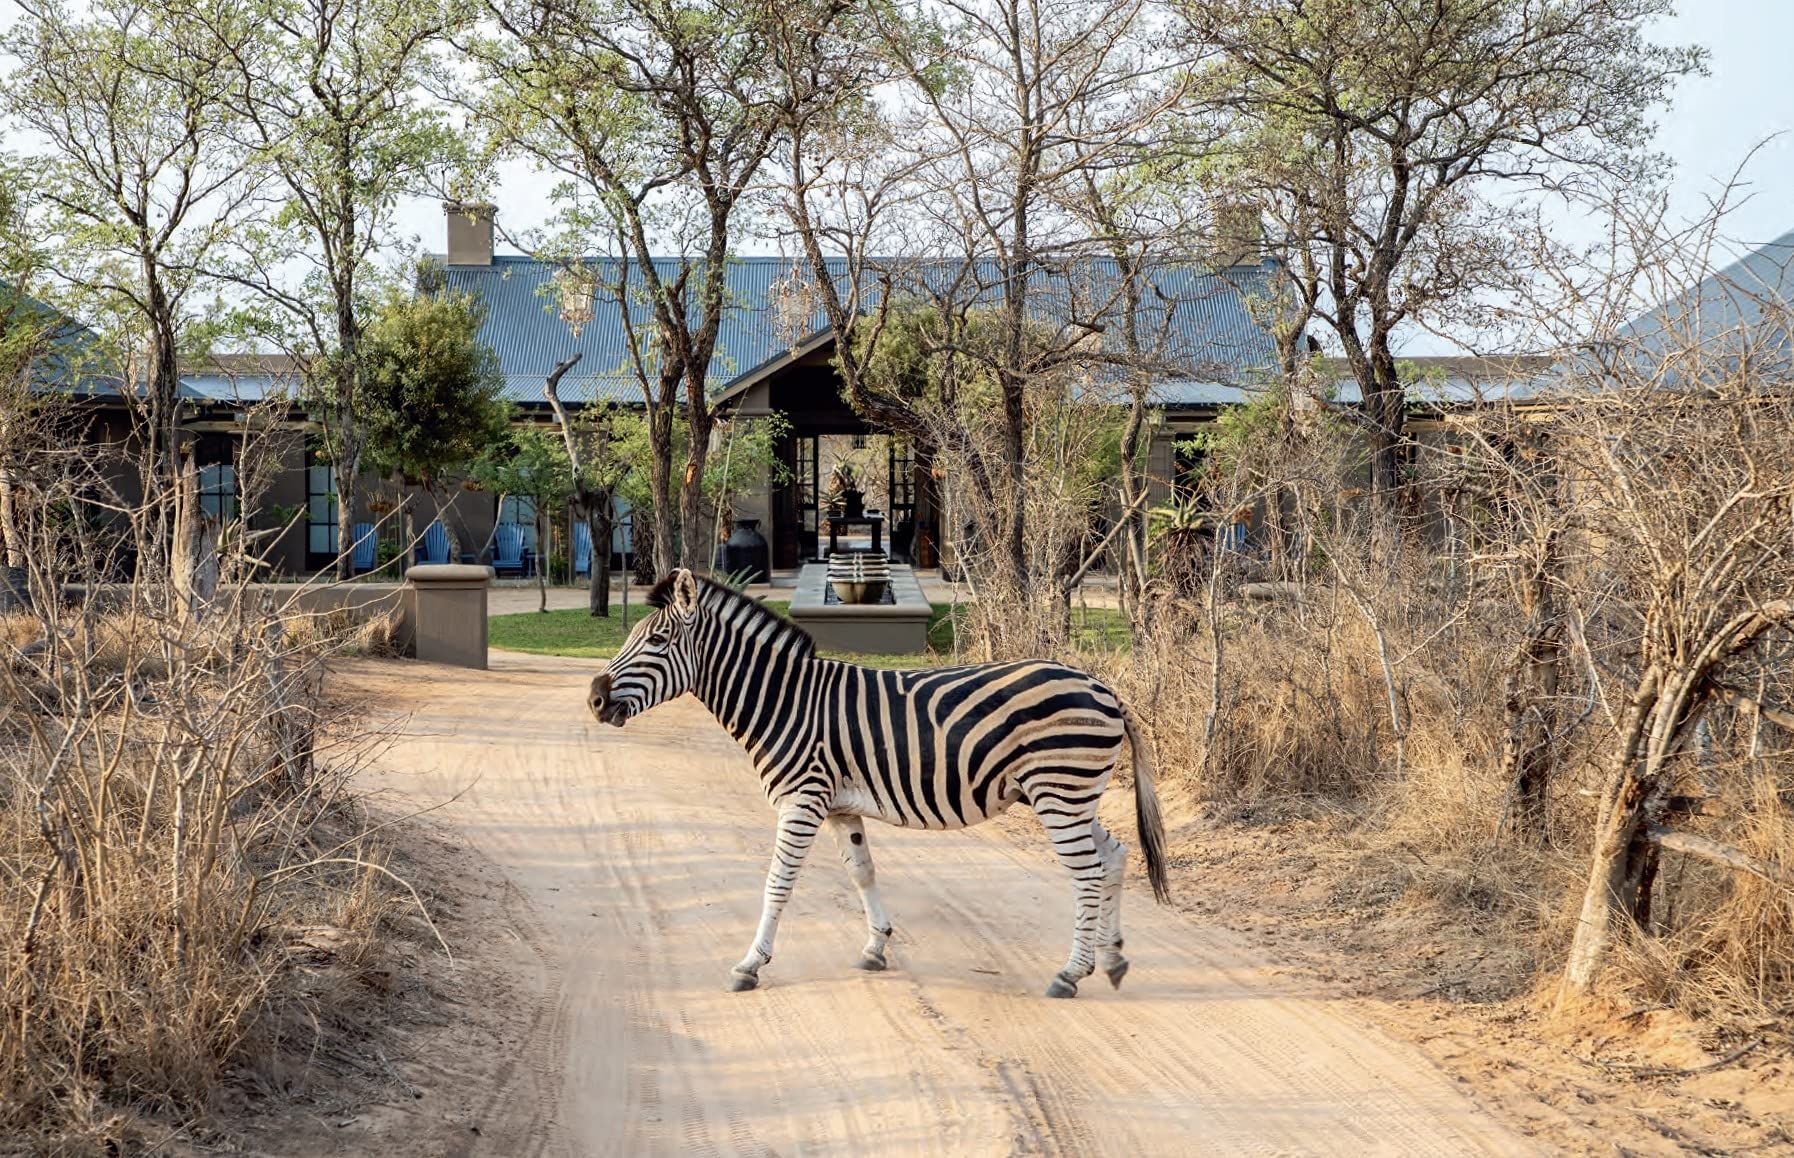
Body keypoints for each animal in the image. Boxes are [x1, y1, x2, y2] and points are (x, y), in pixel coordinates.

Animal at [592, 567, 1176, 991]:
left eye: (658, 640)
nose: (595, 698)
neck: (784, 702)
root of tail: (1102, 686)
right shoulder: (839, 805)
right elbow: (862, 872)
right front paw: (876, 946)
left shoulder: (802, 800)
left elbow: (777, 882)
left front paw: (750, 963)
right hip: (1072, 796)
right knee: (1115, 855)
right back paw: (1113, 960)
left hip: (1059, 791)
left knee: (1088, 871)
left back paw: (1071, 973)